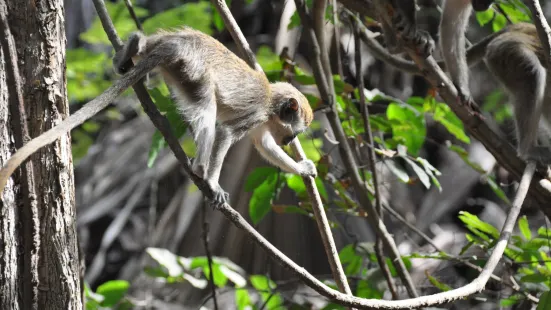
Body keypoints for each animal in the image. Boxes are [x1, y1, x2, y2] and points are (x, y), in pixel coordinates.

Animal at [0, 26, 320, 206]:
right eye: (295, 132)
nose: (289, 139)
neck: (272, 101)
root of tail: (178, 45)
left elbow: (263, 145)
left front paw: (302, 169)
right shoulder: (257, 113)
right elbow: (228, 133)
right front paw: (214, 182)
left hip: (178, 63)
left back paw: (132, 47)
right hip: (193, 70)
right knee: (207, 109)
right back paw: (202, 170)